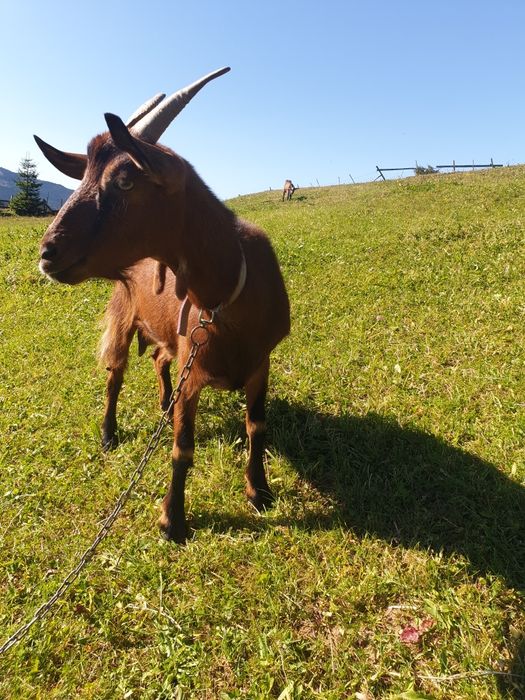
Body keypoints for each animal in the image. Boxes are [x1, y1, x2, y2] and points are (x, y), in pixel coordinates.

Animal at [35, 67, 290, 543]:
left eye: (125, 179)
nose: (47, 253)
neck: (228, 296)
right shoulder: (195, 366)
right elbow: (182, 449)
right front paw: (173, 520)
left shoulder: (259, 362)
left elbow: (257, 427)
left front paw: (259, 491)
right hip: (123, 318)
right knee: (115, 378)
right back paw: (109, 434)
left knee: (157, 361)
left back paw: (161, 405)